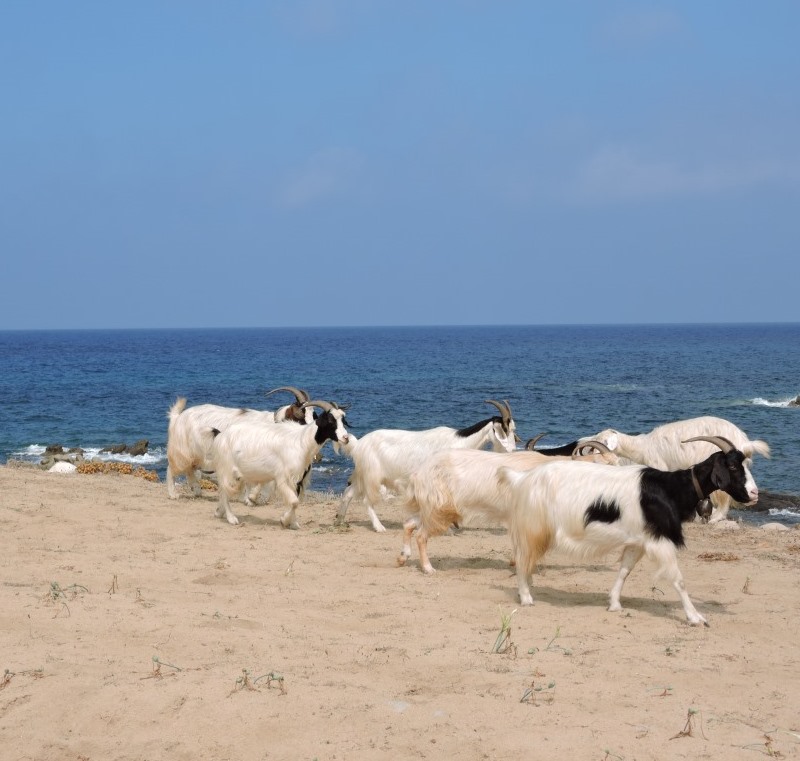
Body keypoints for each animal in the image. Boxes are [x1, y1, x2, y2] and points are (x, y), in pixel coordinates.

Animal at [164, 388, 314, 502]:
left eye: (315, 415)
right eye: (301, 416)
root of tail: (178, 417)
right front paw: (249, 498)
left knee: (190, 470)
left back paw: (197, 491)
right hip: (183, 451)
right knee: (172, 469)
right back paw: (173, 494)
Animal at [212, 398, 350, 528]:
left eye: (343, 420)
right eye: (331, 421)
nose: (346, 438)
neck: (302, 441)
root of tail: (221, 436)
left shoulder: (297, 479)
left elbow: (295, 500)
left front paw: (293, 523)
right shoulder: (283, 477)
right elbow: (294, 501)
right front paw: (285, 520)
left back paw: (219, 512)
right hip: (227, 469)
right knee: (224, 491)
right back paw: (231, 518)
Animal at [332, 400, 516, 532]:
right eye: (506, 429)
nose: (513, 450)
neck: (459, 442)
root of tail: (358, 444)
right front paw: (447, 527)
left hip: (362, 475)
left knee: (348, 493)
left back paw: (339, 520)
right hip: (372, 476)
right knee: (366, 500)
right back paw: (379, 527)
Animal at [400, 440, 620, 568]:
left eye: (618, 462)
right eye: (606, 465)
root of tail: (419, 472)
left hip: (431, 506)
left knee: (409, 525)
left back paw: (402, 558)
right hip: (439, 508)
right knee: (421, 535)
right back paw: (428, 568)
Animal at [496, 434, 760, 624]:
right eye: (733, 467)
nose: (755, 493)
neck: (671, 489)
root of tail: (522, 479)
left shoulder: (639, 540)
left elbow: (624, 570)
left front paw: (614, 604)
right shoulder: (659, 540)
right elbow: (678, 579)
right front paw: (695, 617)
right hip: (534, 528)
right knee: (522, 559)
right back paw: (526, 598)